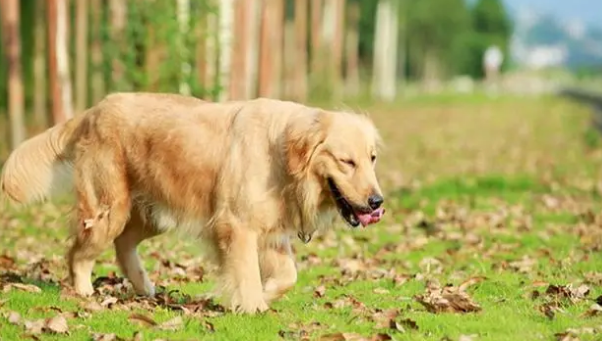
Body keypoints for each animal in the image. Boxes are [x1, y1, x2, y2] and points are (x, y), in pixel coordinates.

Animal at [0, 91, 384, 312]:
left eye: (372, 158)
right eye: (347, 162)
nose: (377, 201)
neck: (281, 155)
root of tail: (94, 109)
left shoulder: (271, 232)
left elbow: (288, 275)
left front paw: (267, 293)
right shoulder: (237, 226)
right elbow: (246, 273)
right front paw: (252, 306)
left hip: (152, 214)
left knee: (123, 245)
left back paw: (145, 287)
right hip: (109, 207)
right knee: (78, 252)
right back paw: (83, 292)